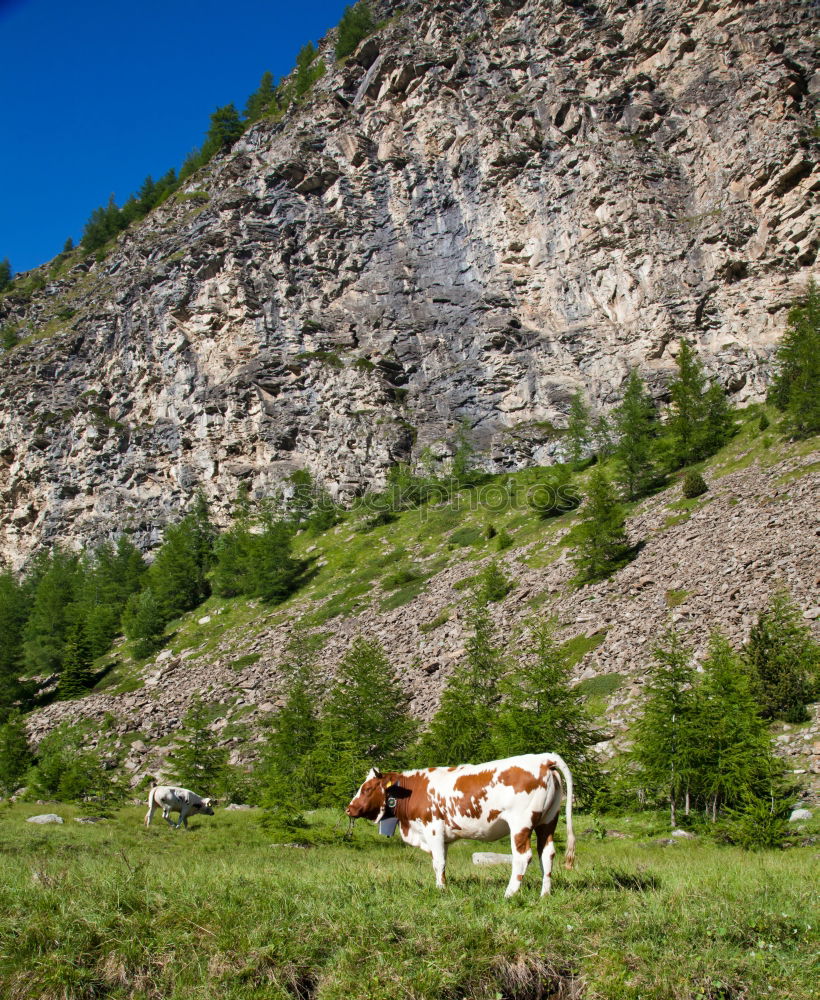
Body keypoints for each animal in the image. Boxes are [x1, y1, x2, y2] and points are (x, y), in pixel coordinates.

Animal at [346, 752, 576, 900]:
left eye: (367, 789)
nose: (349, 809)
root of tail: (544, 758)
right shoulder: (442, 837)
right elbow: (441, 862)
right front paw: (443, 885)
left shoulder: (433, 828)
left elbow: (438, 862)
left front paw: (440, 890)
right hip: (548, 821)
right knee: (547, 854)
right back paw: (545, 894)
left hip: (521, 823)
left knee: (522, 856)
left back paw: (509, 893)